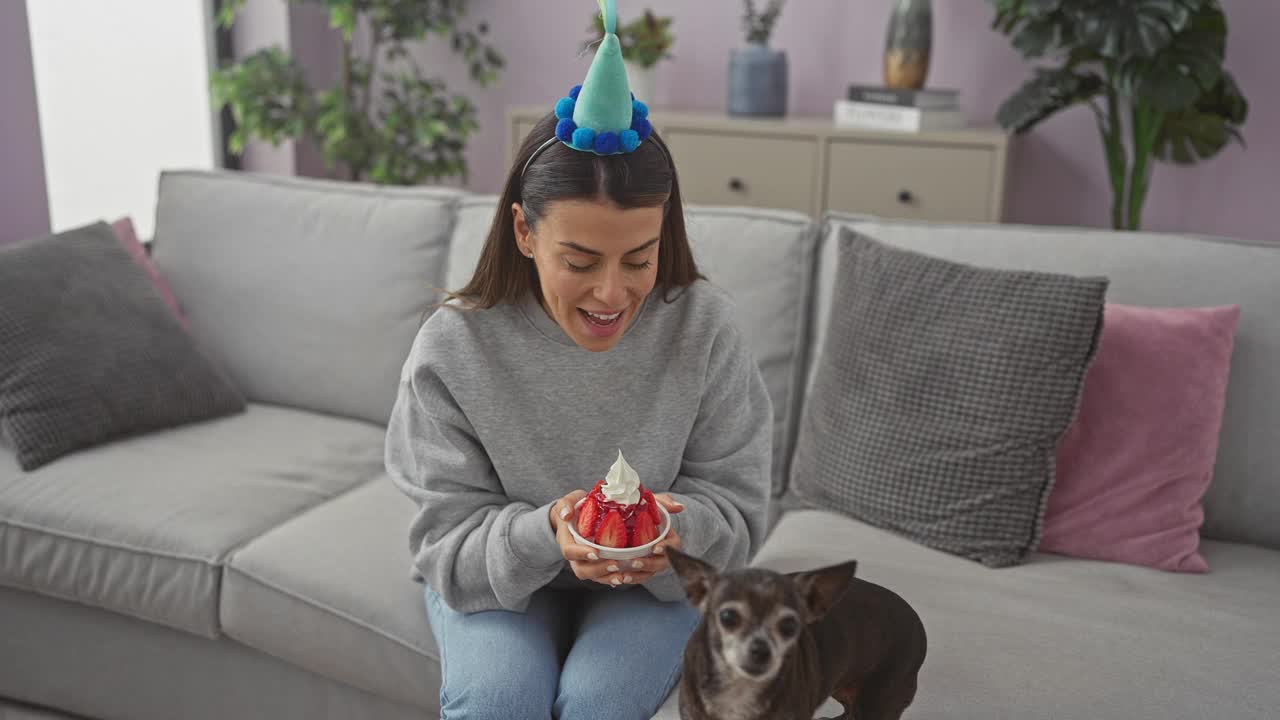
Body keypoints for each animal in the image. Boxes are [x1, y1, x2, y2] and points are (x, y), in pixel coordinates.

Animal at [665, 545, 926, 712]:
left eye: (790, 625)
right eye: (728, 617)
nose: (761, 650)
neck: (739, 690)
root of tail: (919, 626)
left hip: (879, 699)